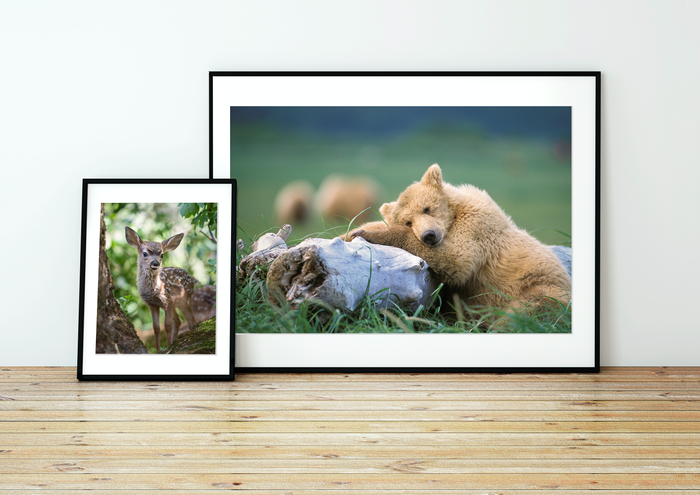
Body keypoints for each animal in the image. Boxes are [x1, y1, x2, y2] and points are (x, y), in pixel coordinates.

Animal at [347, 164, 571, 311]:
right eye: (408, 222)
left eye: (427, 208)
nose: (429, 236)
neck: (454, 215)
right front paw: (352, 232)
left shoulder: (477, 226)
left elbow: (456, 258)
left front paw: (368, 234)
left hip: (536, 285)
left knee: (531, 306)